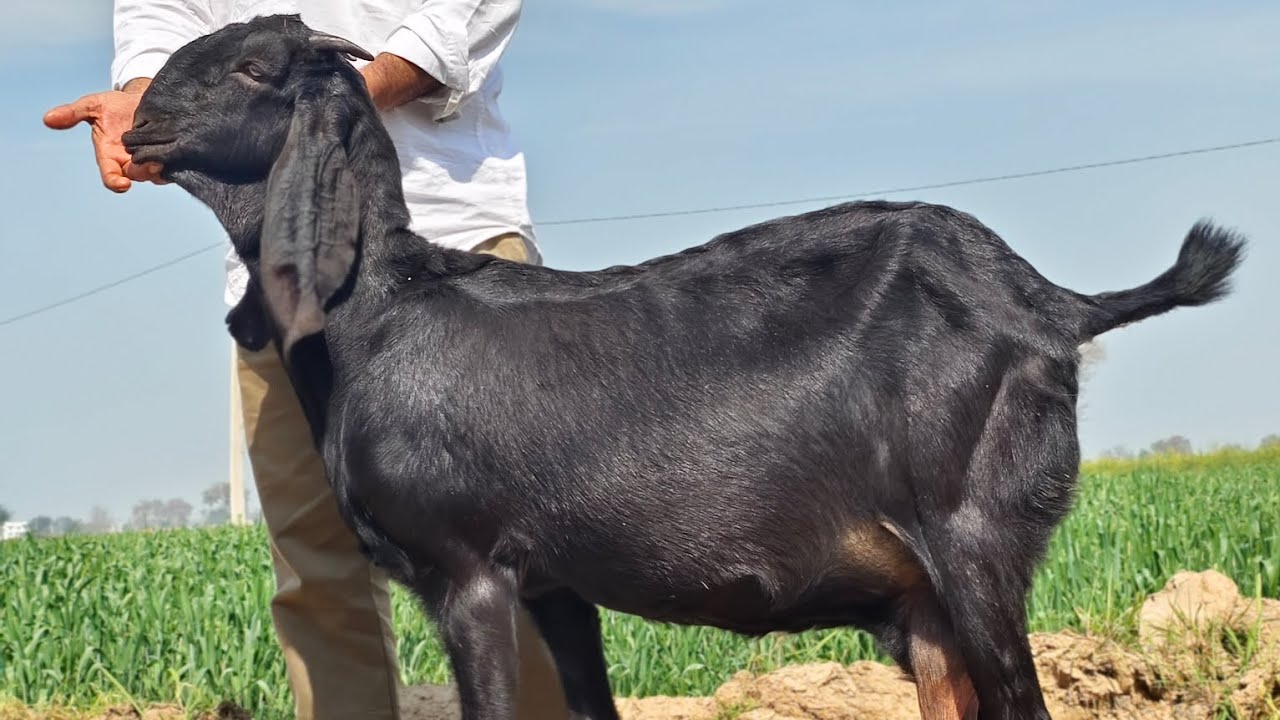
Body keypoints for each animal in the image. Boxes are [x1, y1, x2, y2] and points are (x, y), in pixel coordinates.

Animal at [120, 15, 1245, 720]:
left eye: (255, 68)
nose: (136, 121)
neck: (382, 307)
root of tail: (1051, 300)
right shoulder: (555, 585)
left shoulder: (468, 572)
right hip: (928, 606)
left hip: (973, 537)